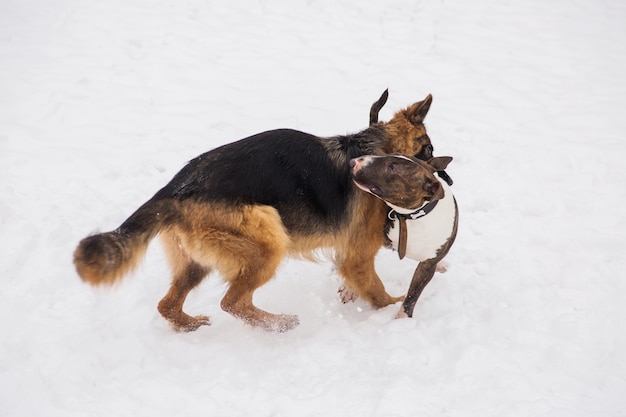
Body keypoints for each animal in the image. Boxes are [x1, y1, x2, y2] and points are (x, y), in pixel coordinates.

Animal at [74, 91, 438, 332]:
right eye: (430, 150)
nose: (441, 181)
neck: (378, 146)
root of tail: (175, 189)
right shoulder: (357, 258)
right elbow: (378, 293)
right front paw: (392, 314)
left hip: (197, 262)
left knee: (169, 304)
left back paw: (190, 325)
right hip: (268, 237)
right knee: (232, 302)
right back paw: (278, 323)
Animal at [352, 154, 458, 316]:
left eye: (393, 167)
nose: (353, 162)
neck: (414, 216)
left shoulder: (427, 266)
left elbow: (413, 295)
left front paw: (401, 318)